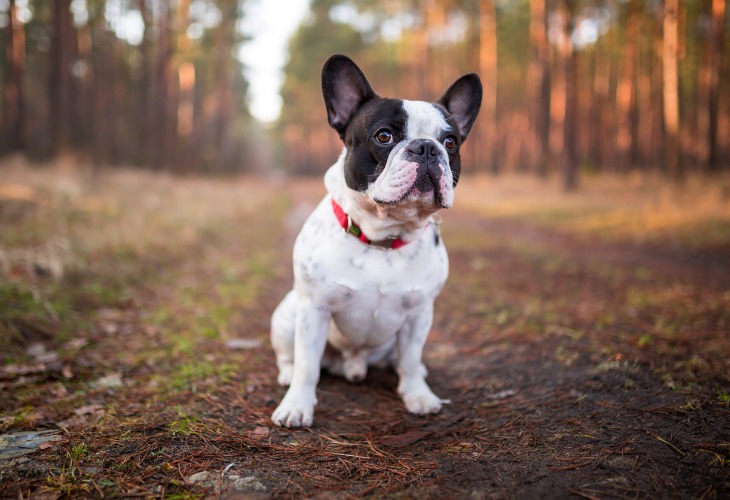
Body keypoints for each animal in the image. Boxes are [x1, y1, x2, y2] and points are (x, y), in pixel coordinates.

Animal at [270, 55, 480, 430]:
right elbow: (308, 364)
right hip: (287, 314)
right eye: (384, 136)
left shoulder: (419, 314)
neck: (384, 235)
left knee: (403, 360)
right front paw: (296, 406)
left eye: (450, 142)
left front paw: (418, 396)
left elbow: (410, 358)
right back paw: (288, 375)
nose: (427, 148)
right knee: (290, 357)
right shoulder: (314, 309)